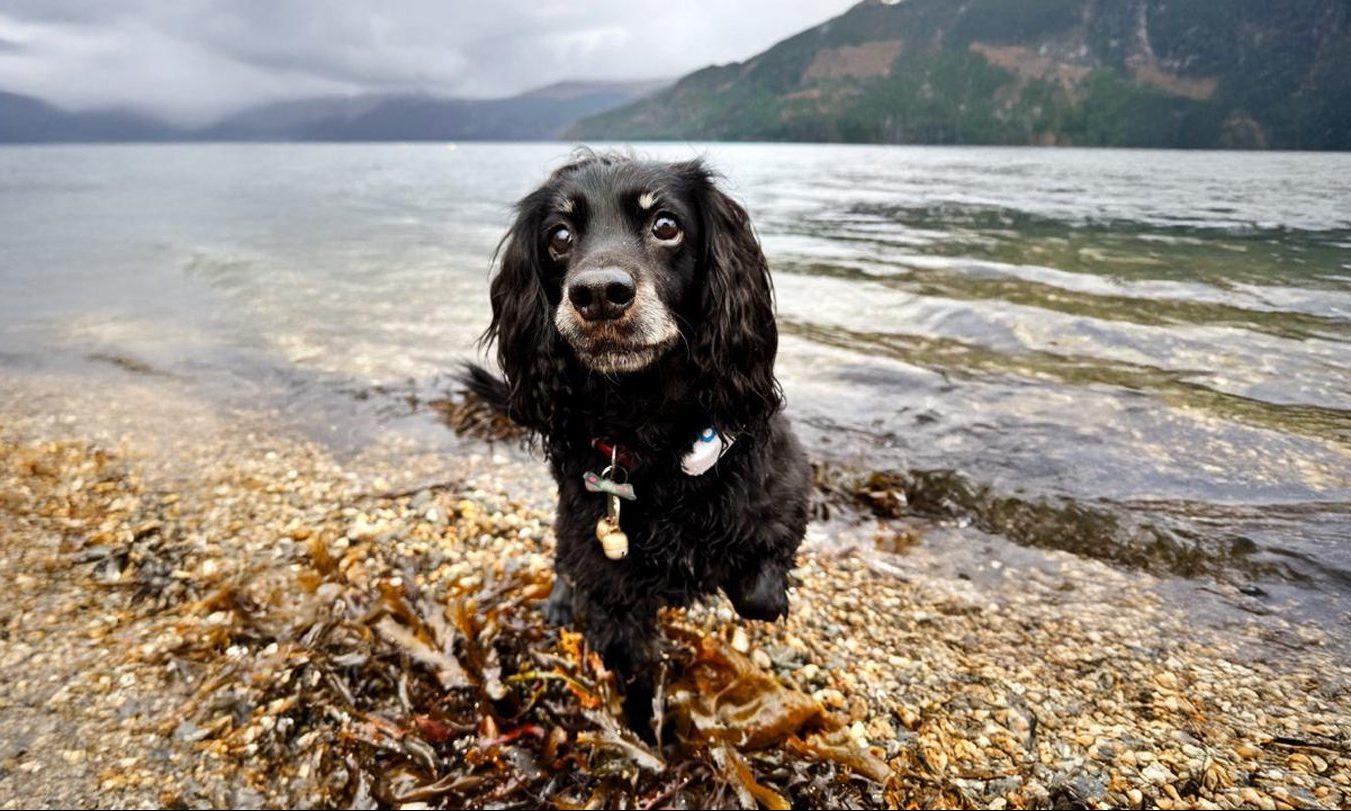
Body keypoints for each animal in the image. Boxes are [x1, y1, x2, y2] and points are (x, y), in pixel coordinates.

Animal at [464, 150, 805, 729]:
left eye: (665, 225)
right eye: (559, 235)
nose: (600, 294)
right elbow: (636, 674)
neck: (649, 431)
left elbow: (758, 587)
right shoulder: (610, 582)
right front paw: (648, 738)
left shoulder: (783, 498)